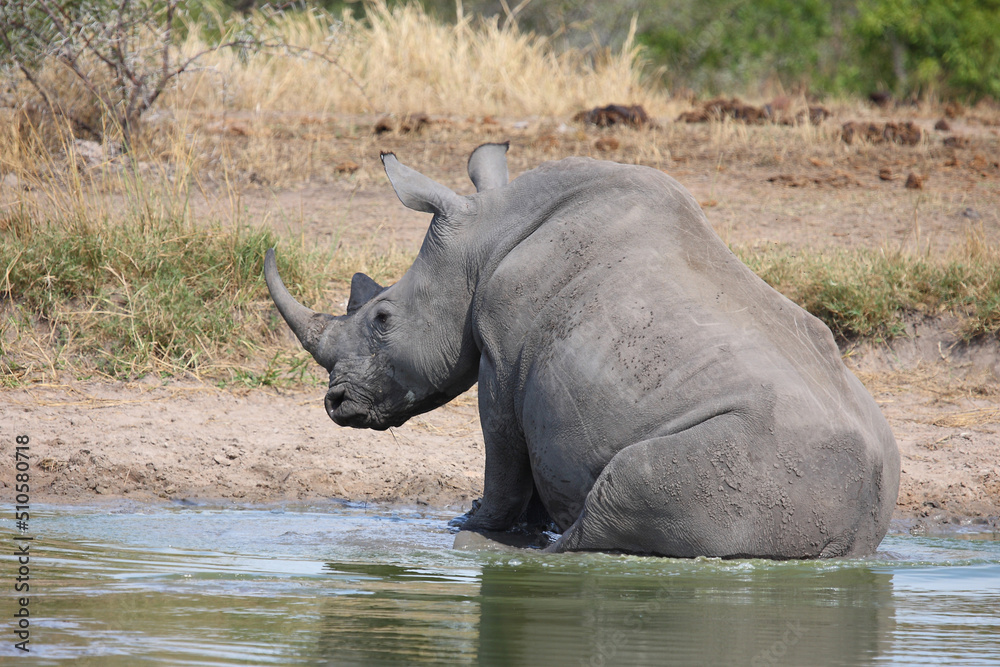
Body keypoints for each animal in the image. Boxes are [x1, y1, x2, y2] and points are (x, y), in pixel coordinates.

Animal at [264, 143, 900, 559]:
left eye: (382, 319)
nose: (337, 404)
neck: (487, 237)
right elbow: (526, 456)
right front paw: (507, 528)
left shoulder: (503, 354)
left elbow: (503, 448)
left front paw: (478, 526)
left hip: (753, 460)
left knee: (627, 479)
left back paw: (518, 550)